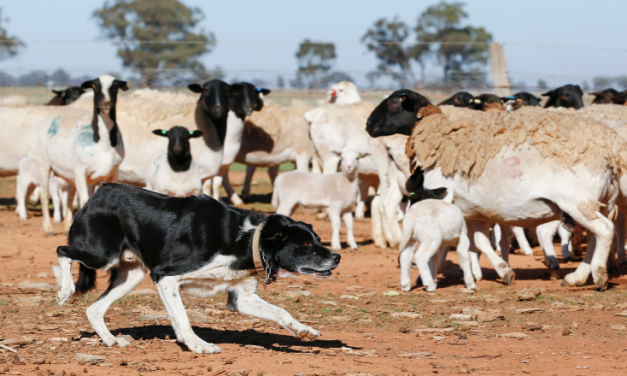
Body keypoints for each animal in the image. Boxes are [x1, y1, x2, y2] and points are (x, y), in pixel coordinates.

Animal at [53, 184, 338, 354]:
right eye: (305, 245)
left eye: (318, 240)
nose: (337, 257)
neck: (246, 239)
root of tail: (98, 192)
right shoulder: (165, 276)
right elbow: (182, 319)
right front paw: (198, 345)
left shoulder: (242, 298)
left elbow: (281, 311)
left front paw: (303, 330)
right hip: (103, 255)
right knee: (62, 251)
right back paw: (64, 290)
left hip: (130, 276)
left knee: (93, 309)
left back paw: (111, 340)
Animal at [368, 92, 627, 290]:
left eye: (393, 103)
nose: (368, 125)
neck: (439, 140)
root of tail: (612, 148)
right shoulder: (477, 210)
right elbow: (480, 242)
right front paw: (501, 271)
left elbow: (470, 244)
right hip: (602, 201)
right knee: (596, 236)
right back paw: (577, 277)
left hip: (577, 201)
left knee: (604, 231)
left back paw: (600, 275)